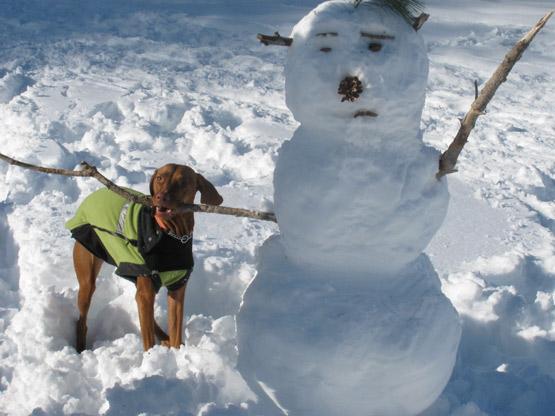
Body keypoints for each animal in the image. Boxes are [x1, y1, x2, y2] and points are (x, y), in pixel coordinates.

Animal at [69, 164, 224, 352]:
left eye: (183, 182)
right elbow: (148, 341)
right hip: (88, 276)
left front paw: (175, 352)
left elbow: (175, 331)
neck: (172, 235)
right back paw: (80, 348)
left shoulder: (177, 290)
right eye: (159, 178)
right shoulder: (147, 290)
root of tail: (92, 196)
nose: (161, 197)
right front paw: (151, 357)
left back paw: (164, 337)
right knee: (82, 319)